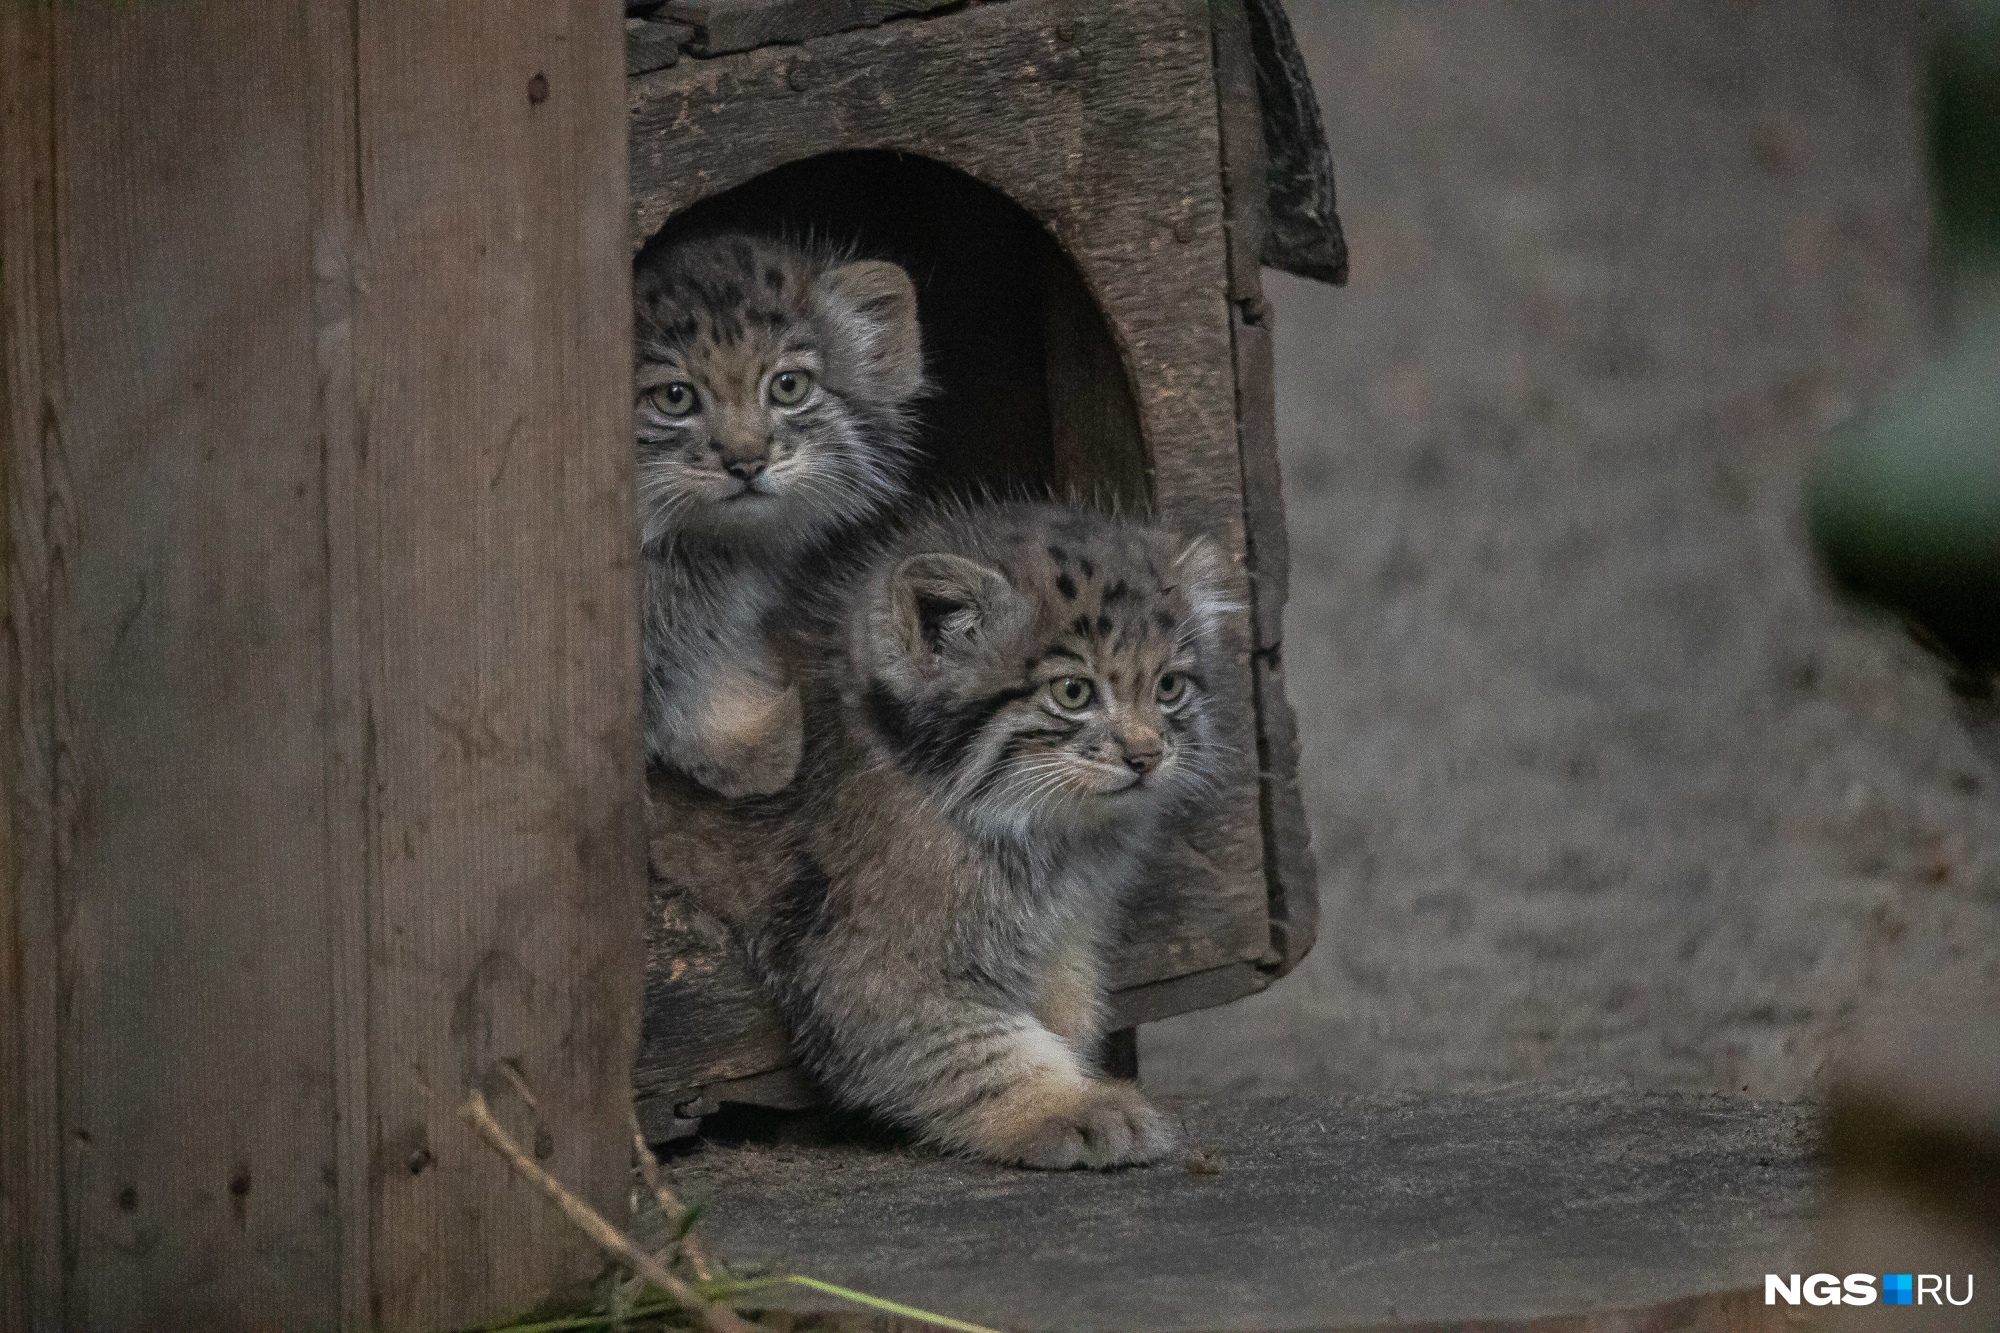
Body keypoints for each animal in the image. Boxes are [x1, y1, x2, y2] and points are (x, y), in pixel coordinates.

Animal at [756, 498, 1240, 1160]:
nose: (1146, 757)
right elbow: (973, 1047)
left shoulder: (1065, 923)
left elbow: (1067, 1003)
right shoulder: (867, 957)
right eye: (1073, 692)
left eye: (1169, 686)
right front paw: (1067, 1106)